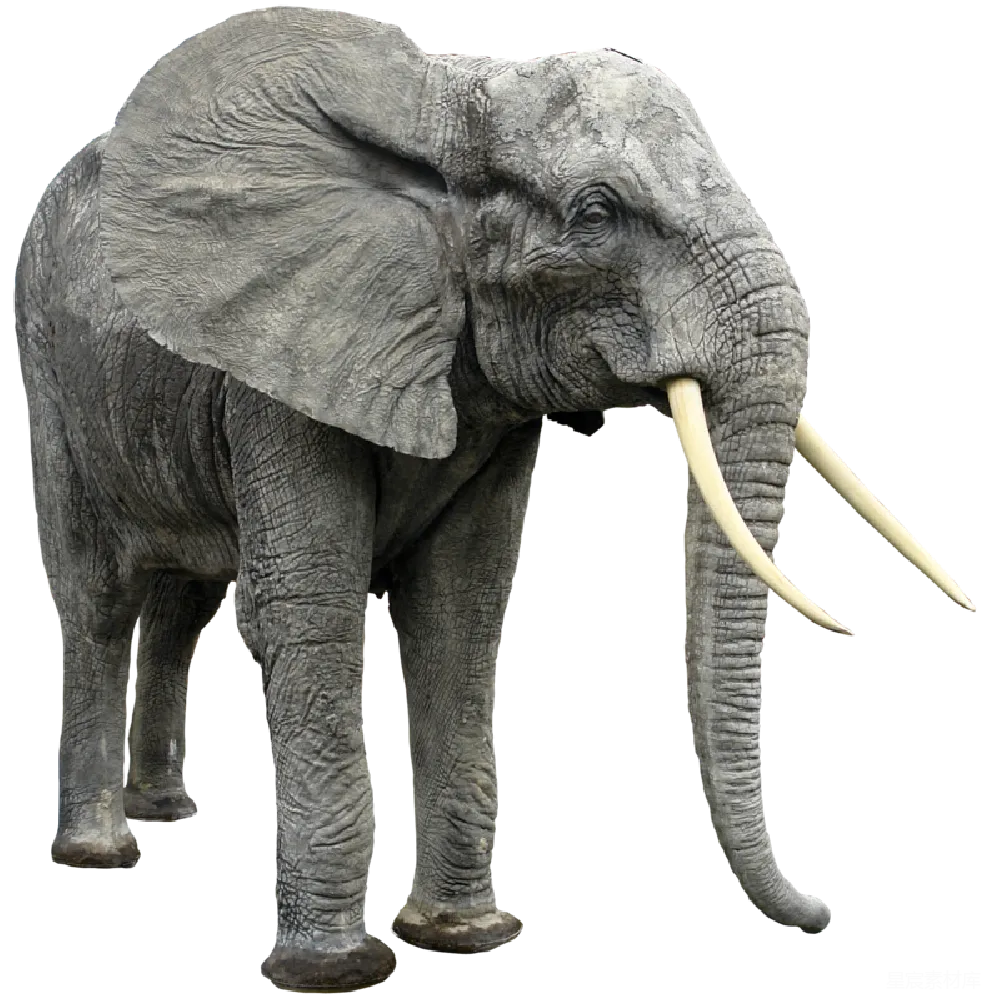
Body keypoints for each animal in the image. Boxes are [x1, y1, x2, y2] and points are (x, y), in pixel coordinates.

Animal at [18, 8, 977, 992]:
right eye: (595, 214)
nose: (828, 908)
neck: (446, 109)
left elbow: (460, 604)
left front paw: (461, 935)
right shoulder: (277, 366)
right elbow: (311, 609)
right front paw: (333, 972)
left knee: (183, 602)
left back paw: (167, 811)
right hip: (50, 362)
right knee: (99, 596)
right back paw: (102, 851)